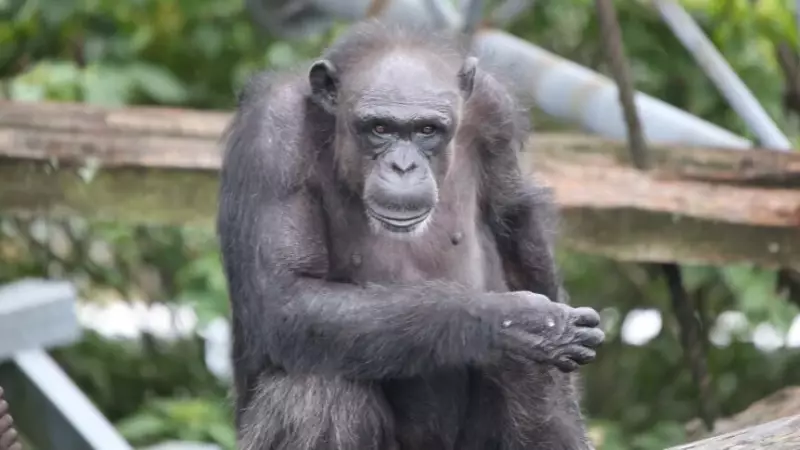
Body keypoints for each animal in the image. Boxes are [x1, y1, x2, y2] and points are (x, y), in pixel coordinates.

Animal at [217, 20, 604, 450]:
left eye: (427, 130)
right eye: (379, 128)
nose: (403, 166)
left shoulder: (495, 110)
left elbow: (515, 215)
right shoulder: (273, 138)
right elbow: (289, 293)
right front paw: (519, 322)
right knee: (315, 388)